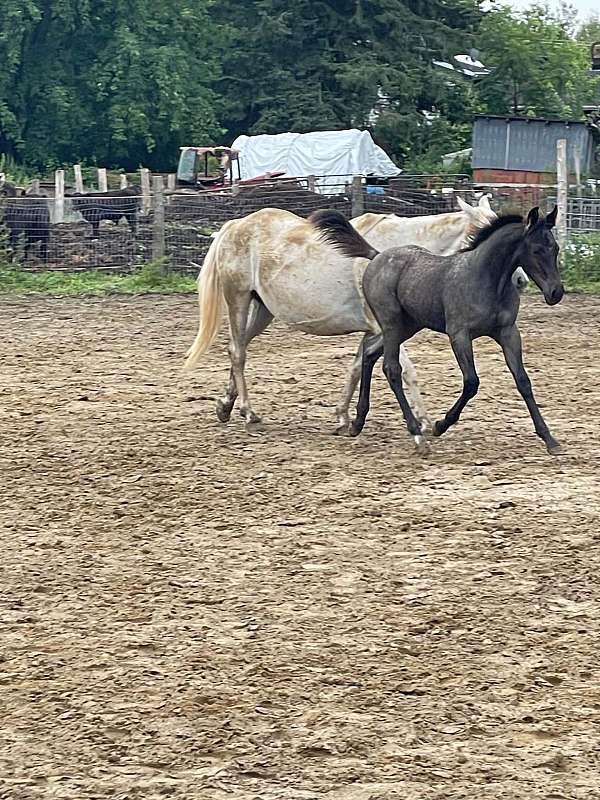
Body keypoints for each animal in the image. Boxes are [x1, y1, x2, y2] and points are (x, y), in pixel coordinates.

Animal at [183, 197, 524, 432]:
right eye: (483, 234)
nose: (520, 280)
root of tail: (235, 225)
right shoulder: (386, 328)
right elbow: (405, 370)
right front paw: (425, 422)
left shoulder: (373, 331)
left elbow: (358, 366)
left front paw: (343, 417)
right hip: (238, 300)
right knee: (237, 352)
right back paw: (248, 412)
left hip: (263, 310)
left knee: (238, 349)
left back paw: (226, 406)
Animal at [311, 206, 564, 454]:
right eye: (536, 250)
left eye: (555, 248)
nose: (556, 292)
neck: (488, 281)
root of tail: (377, 256)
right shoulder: (459, 334)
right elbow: (471, 382)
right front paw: (440, 425)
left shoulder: (508, 333)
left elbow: (523, 381)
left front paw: (550, 439)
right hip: (392, 323)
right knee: (391, 368)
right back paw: (416, 435)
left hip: (408, 326)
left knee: (370, 353)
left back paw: (357, 423)